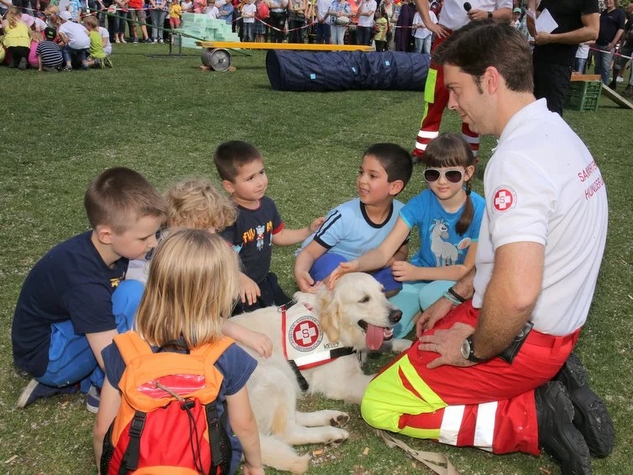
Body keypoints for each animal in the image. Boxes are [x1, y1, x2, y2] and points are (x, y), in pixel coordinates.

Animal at [230, 274, 412, 474]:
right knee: (287, 432)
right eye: (364, 299)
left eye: (382, 291)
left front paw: (408, 345)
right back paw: (330, 432)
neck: (335, 326)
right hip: (275, 374)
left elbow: (385, 344)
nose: (398, 315)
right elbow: (379, 380)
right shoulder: (343, 382)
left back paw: (331, 418)